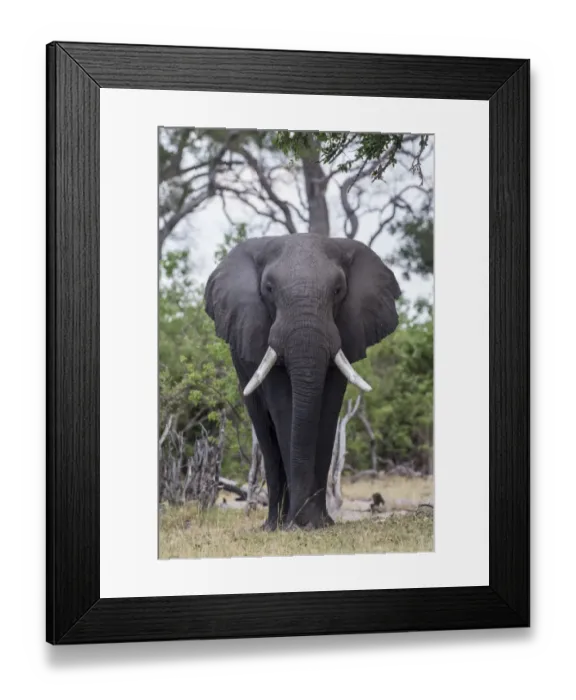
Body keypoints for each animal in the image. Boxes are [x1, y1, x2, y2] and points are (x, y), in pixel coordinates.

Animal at [204, 233, 401, 530]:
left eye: (338, 290)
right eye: (269, 289)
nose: (300, 519)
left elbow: (328, 408)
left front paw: (318, 524)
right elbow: (284, 406)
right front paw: (297, 524)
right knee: (265, 432)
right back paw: (273, 525)